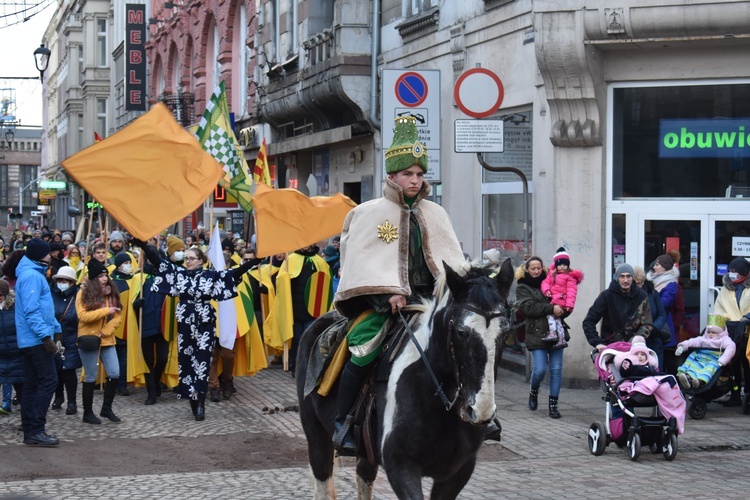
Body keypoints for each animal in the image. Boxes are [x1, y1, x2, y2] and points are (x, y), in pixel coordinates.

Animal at [296, 260, 516, 498]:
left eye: (505, 333)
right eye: (461, 332)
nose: (480, 411)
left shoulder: (458, 471)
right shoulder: (401, 467)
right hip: (316, 435)